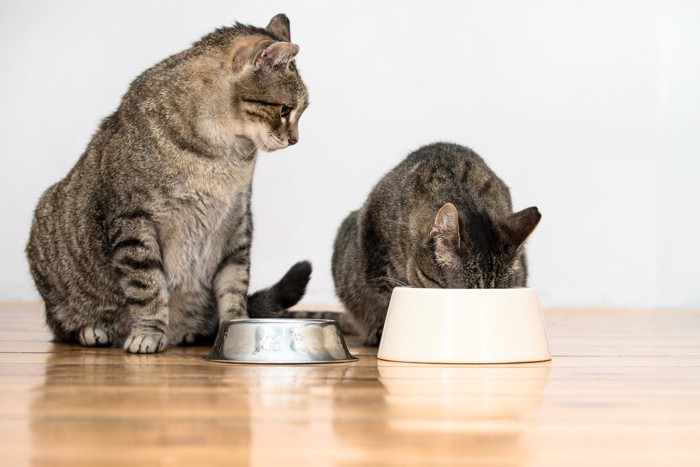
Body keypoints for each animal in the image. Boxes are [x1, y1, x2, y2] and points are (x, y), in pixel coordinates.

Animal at [26, 12, 312, 352]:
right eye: (285, 109)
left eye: (302, 110)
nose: (295, 140)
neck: (223, 154)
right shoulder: (134, 222)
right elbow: (148, 287)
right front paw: (148, 332)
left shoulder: (238, 226)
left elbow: (234, 287)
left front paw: (235, 328)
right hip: (47, 230)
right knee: (62, 325)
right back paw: (93, 330)